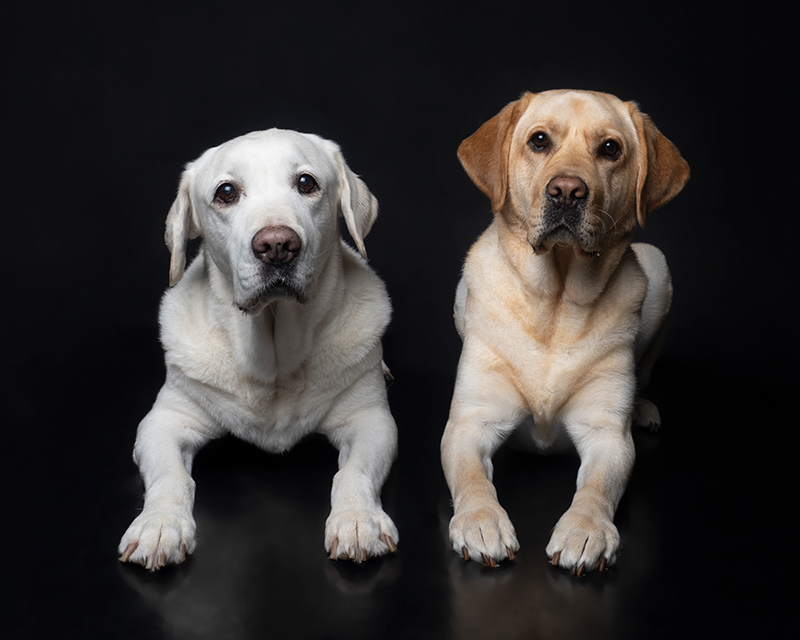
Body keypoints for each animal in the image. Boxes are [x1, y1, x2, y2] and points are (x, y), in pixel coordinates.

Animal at [119, 130, 400, 568]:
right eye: (226, 192)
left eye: (306, 183)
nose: (277, 245)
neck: (274, 355)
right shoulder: (164, 421)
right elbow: (170, 475)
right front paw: (160, 524)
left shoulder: (371, 420)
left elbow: (353, 471)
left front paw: (358, 519)